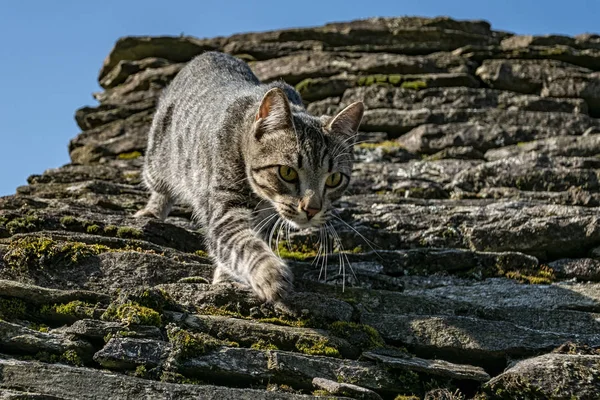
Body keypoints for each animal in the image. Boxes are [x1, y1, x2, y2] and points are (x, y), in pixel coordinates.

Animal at [136, 52, 364, 304]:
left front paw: (227, 277)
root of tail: (207, 54)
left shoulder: (265, 220)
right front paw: (269, 272)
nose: (312, 209)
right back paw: (152, 211)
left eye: (334, 179)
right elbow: (243, 243)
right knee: (160, 188)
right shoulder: (223, 209)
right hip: (158, 160)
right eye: (287, 172)